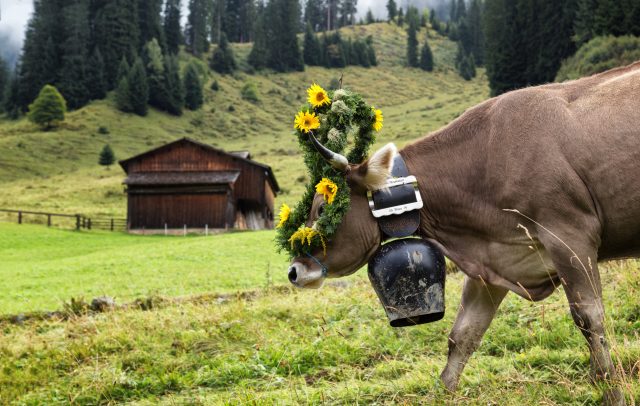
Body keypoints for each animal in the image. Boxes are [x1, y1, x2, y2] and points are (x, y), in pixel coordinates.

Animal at [288, 61, 640, 404]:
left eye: (322, 206)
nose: (294, 270)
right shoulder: (494, 262)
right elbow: (463, 334)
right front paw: (440, 395)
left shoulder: (569, 236)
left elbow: (589, 320)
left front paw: (611, 392)